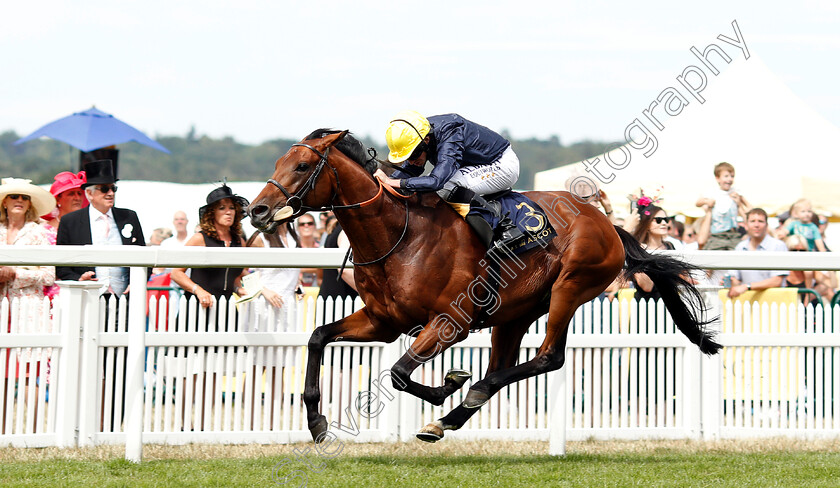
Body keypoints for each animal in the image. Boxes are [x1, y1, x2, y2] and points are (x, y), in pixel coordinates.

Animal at [248, 129, 720, 442]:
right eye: (276, 164)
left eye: (302, 166)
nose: (256, 210)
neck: (399, 233)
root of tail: (607, 223)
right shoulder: (384, 321)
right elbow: (318, 336)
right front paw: (316, 422)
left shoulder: (449, 322)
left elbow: (399, 373)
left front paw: (447, 384)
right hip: (515, 313)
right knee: (503, 366)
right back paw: (453, 415)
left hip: (570, 288)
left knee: (548, 357)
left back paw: (462, 400)